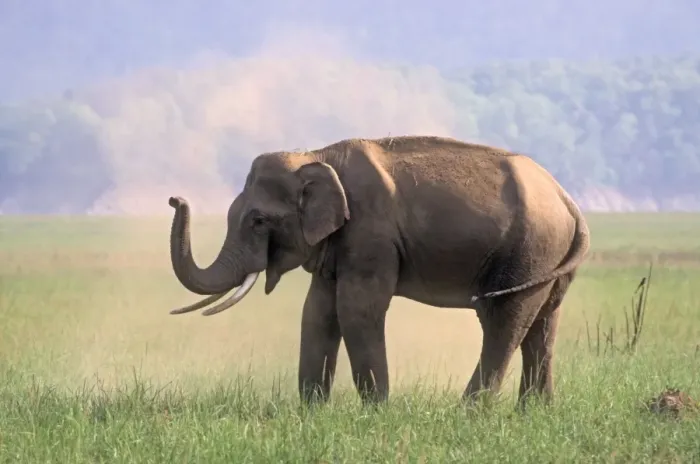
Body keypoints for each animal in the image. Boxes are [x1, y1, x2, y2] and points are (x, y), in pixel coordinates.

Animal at [167, 135, 590, 406]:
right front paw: (311, 412)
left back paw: (470, 412)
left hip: (529, 251)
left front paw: (376, 412)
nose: (174, 198)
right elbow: (318, 311)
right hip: (549, 258)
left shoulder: (370, 234)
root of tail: (567, 200)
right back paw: (534, 412)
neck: (316, 155)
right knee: (543, 324)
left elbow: (357, 309)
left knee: (505, 320)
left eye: (257, 221)